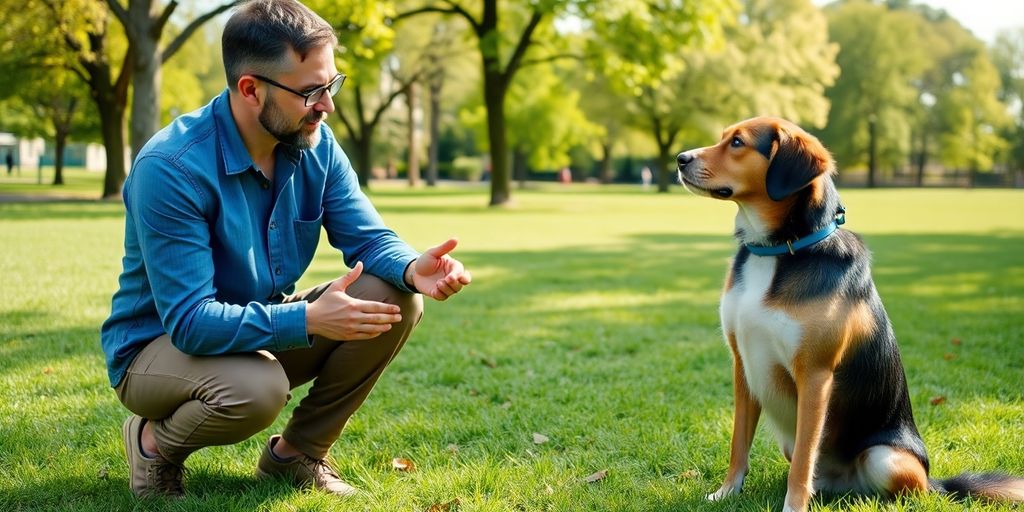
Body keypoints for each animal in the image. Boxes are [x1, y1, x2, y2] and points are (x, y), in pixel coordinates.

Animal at [675, 117, 1019, 512]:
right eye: (723, 137)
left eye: (736, 142)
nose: (680, 159)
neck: (778, 250)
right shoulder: (742, 365)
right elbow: (738, 444)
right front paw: (726, 492)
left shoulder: (815, 376)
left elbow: (805, 458)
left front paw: (793, 507)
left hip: (886, 458)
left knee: (902, 492)